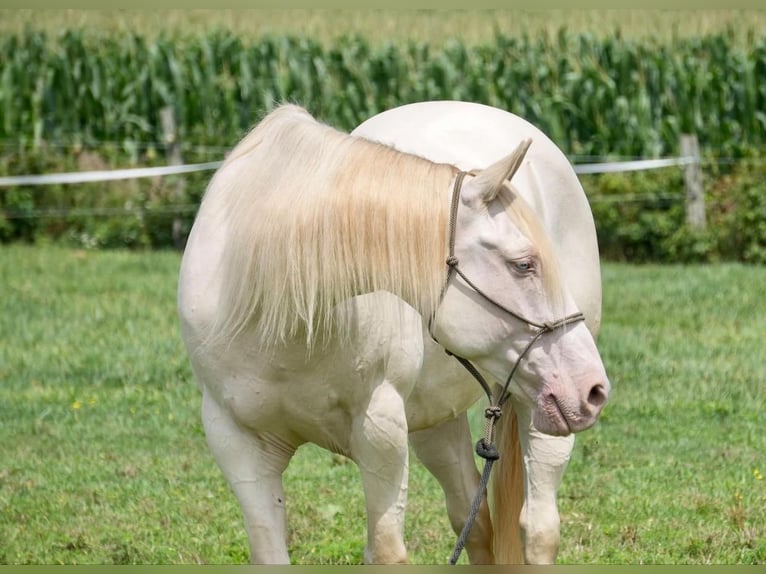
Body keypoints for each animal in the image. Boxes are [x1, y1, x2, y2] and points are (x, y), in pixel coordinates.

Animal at [180, 101, 612, 564]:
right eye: (524, 264)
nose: (593, 389)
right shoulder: (235, 441)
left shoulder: (380, 431)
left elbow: (387, 551)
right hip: (435, 419)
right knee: (475, 522)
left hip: (539, 414)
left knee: (538, 530)